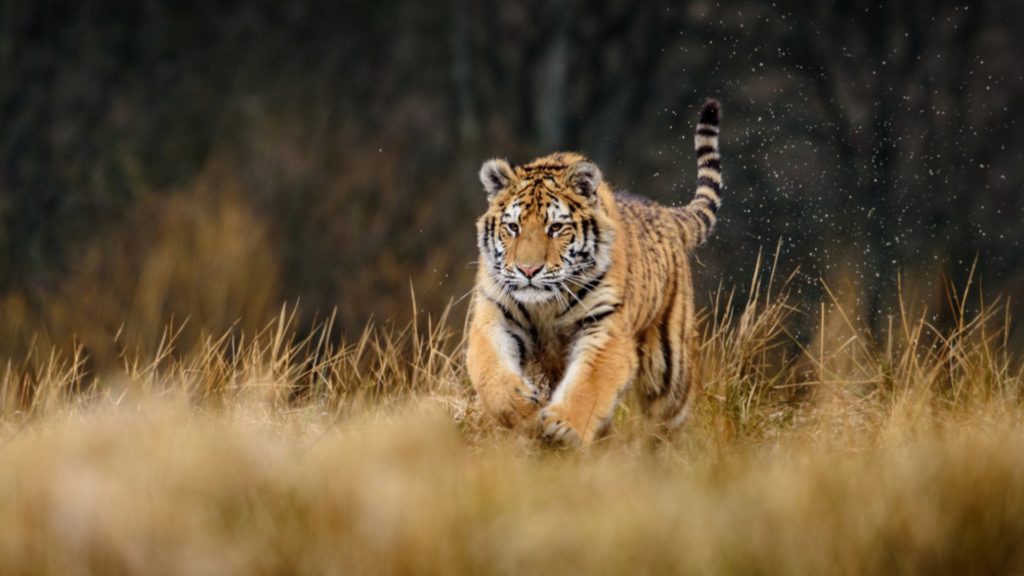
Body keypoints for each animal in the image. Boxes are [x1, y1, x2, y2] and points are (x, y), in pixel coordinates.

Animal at [466, 99, 722, 446]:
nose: (528, 269)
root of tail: (666, 213)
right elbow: (490, 368)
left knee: (669, 416)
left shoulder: (605, 327)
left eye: (555, 228)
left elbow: (590, 383)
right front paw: (523, 409)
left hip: (670, 368)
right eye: (513, 227)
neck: (545, 303)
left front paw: (564, 427)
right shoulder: (495, 315)